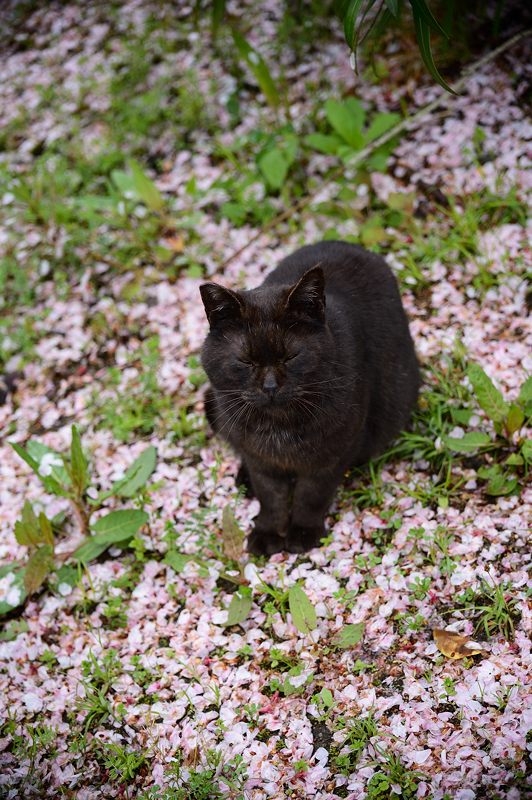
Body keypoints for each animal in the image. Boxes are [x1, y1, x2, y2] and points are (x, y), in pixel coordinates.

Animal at [200, 242, 420, 556]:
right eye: (245, 361)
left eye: (291, 356)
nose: (270, 386)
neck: (278, 428)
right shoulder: (261, 460)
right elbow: (271, 497)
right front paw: (268, 533)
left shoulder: (331, 453)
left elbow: (311, 495)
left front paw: (302, 533)